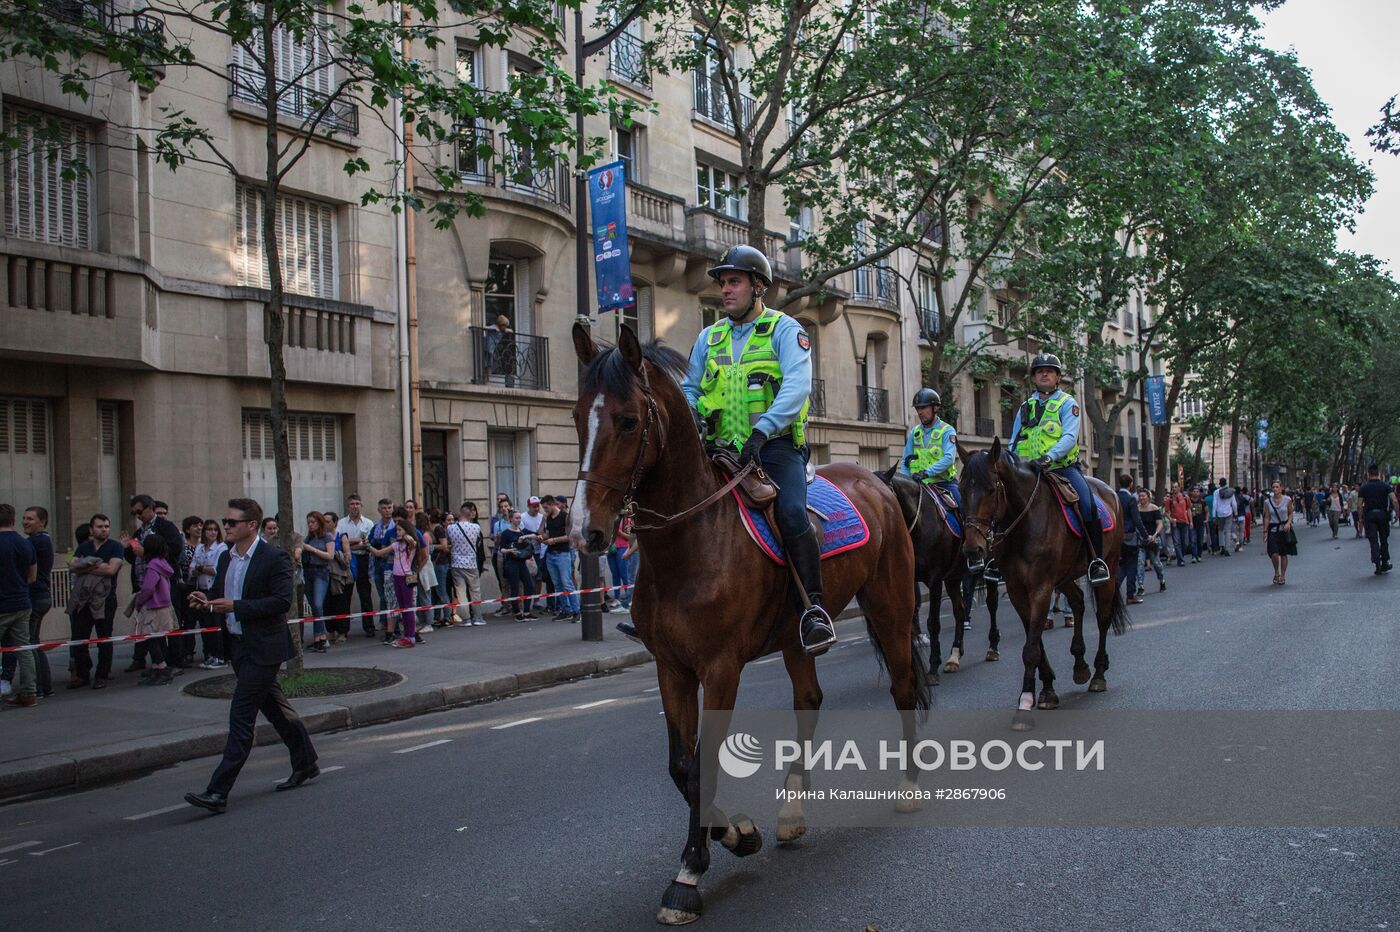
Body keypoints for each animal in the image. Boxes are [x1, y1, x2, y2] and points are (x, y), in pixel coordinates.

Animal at [568, 323, 929, 918]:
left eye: (628, 421)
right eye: (577, 417)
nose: (585, 532)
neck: (690, 544)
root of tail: (877, 480)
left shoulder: (721, 669)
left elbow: (704, 761)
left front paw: (691, 872)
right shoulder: (671, 668)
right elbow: (682, 766)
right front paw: (735, 832)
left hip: (892, 608)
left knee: (902, 686)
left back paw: (909, 788)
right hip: (795, 637)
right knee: (809, 700)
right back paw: (791, 814)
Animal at [957, 439, 1131, 713]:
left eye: (991, 490)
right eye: (961, 490)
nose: (973, 550)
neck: (1024, 524)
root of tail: (1110, 491)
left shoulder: (1040, 588)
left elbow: (1031, 647)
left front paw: (1027, 696)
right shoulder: (1018, 591)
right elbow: (1035, 640)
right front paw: (1047, 688)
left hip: (1110, 569)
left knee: (1103, 617)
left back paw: (1098, 674)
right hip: (1065, 576)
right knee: (1078, 602)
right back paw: (1080, 665)